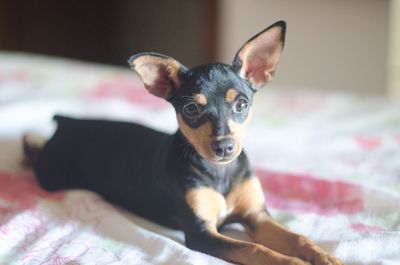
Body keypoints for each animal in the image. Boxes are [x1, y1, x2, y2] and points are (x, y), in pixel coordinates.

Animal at [24, 21, 344, 264]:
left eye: (241, 104)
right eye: (191, 109)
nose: (224, 147)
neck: (219, 172)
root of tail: (69, 123)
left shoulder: (256, 216)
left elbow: (298, 238)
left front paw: (324, 257)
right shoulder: (202, 234)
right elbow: (255, 249)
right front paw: (294, 262)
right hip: (53, 176)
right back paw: (30, 140)